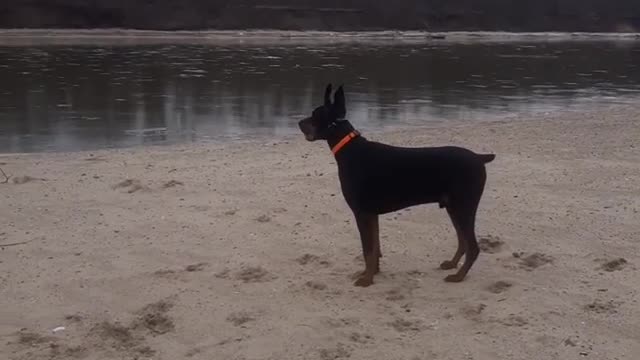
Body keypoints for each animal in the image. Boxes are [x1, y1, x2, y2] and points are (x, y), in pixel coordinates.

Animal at [298, 84, 498, 286]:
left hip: (463, 207)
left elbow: (367, 249)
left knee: (472, 246)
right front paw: (374, 272)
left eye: (316, 114)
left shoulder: (362, 213)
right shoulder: (372, 214)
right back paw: (452, 264)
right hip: (453, 207)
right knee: (463, 241)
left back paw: (459, 276)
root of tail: (479, 158)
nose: (299, 123)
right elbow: (375, 247)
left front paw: (366, 279)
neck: (350, 150)